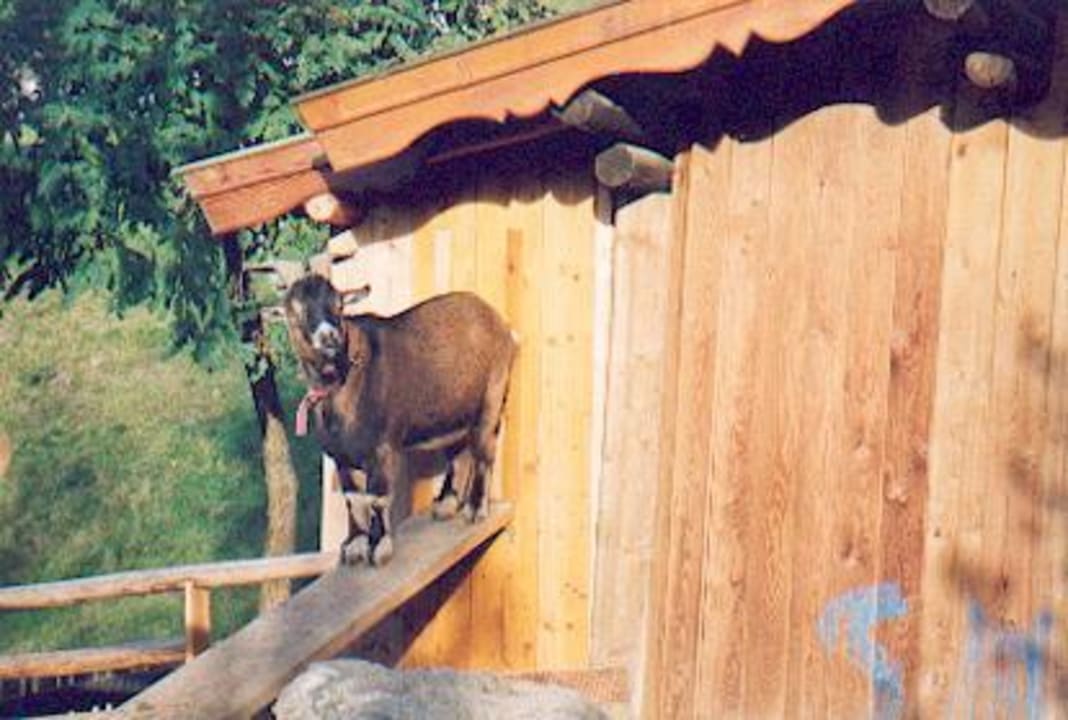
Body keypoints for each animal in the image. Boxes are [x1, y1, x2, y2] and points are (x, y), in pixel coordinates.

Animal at [281, 274, 517, 566]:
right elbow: (353, 498)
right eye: (296, 314)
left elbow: (377, 499)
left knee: (484, 452)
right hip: (455, 412)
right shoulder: (341, 456)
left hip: (492, 394)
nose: (329, 337)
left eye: (339, 306)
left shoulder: (382, 448)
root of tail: (495, 319)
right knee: (458, 454)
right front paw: (354, 545)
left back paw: (475, 509)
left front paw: (379, 547)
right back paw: (446, 505)